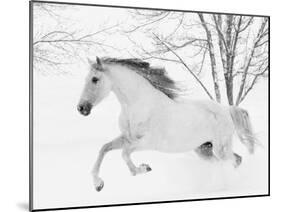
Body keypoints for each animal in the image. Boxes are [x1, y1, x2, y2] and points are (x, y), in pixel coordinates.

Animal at [77, 56, 256, 192]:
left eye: (95, 79)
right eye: (86, 79)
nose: (81, 108)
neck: (138, 105)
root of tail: (226, 110)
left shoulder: (146, 142)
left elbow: (125, 154)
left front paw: (143, 168)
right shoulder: (127, 138)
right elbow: (104, 149)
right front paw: (98, 184)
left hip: (220, 148)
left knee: (234, 160)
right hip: (204, 149)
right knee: (229, 161)